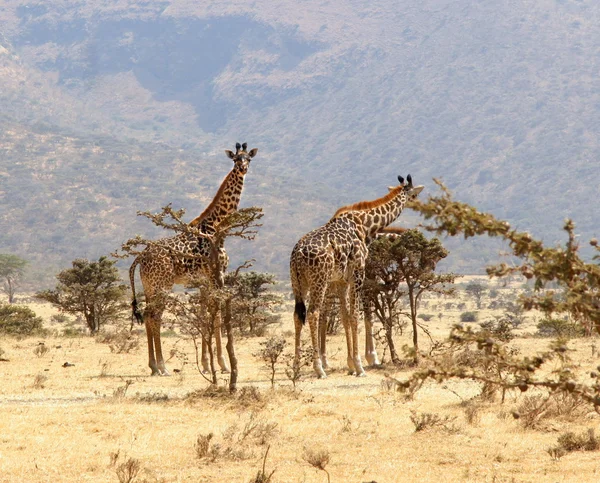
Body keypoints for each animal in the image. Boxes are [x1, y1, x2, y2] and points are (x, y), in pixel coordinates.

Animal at [130, 142, 256, 376]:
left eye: (249, 159)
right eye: (236, 159)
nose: (243, 169)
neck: (217, 228)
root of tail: (141, 256)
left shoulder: (204, 282)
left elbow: (205, 315)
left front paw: (207, 364)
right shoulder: (217, 275)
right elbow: (216, 315)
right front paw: (223, 364)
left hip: (149, 286)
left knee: (148, 315)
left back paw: (153, 366)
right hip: (162, 285)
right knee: (154, 316)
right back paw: (162, 366)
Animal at [290, 174, 422, 378]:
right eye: (414, 195)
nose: (420, 205)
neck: (365, 225)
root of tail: (297, 254)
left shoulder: (341, 280)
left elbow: (345, 317)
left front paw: (351, 364)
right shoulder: (359, 273)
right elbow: (355, 316)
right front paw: (360, 366)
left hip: (298, 283)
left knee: (298, 316)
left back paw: (296, 367)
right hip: (319, 281)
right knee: (314, 313)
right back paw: (319, 368)